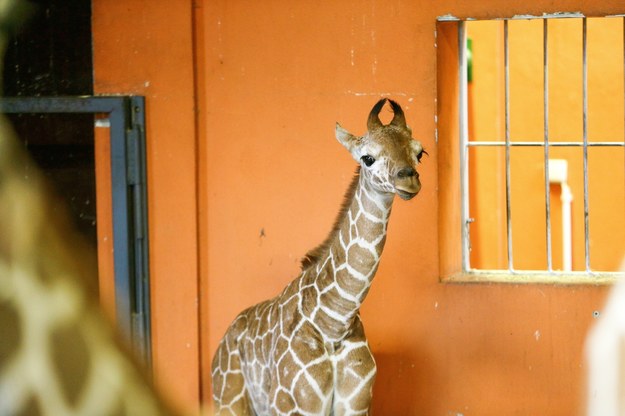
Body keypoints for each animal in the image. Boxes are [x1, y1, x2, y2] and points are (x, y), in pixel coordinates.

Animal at [213, 99, 424, 414]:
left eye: (420, 153)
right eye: (367, 158)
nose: (408, 180)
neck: (335, 321)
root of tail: (222, 344)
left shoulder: (357, 405)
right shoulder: (293, 405)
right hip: (229, 401)